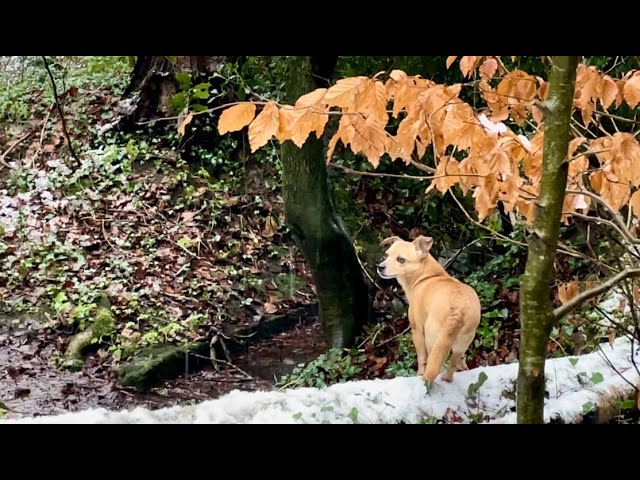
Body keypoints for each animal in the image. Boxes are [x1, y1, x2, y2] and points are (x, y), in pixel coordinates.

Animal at [378, 234, 478, 384]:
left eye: (401, 259)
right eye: (386, 255)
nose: (380, 267)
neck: (426, 276)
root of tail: (458, 310)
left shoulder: (417, 330)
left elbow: (421, 358)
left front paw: (419, 373)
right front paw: (463, 366)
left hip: (432, 339)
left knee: (432, 362)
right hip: (462, 342)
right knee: (452, 364)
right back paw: (447, 378)